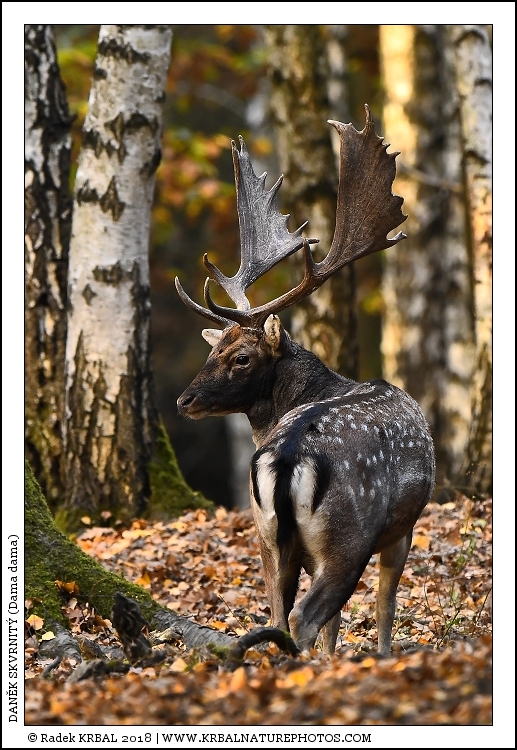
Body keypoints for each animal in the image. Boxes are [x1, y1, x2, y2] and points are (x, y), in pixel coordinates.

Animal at [176, 105, 436, 655]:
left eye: (240, 357)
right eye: (215, 350)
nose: (185, 400)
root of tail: (286, 456)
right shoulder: (402, 526)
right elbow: (384, 607)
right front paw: (383, 657)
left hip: (267, 534)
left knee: (278, 610)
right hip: (348, 533)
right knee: (307, 614)